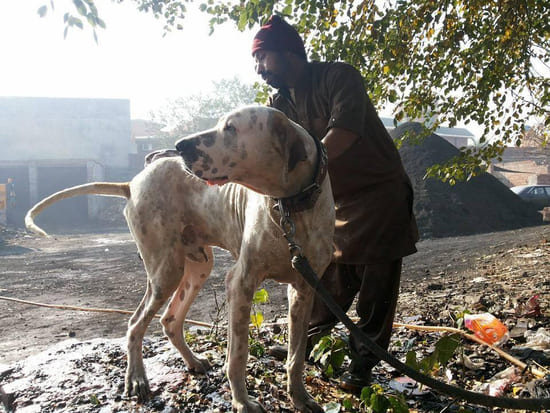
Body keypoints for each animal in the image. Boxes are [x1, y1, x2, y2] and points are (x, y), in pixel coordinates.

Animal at [25, 106, 334, 412]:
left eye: (231, 128)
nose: (180, 145)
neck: (292, 208)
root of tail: (132, 182)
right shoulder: (240, 283)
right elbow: (238, 355)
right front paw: (242, 401)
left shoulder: (304, 291)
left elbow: (296, 356)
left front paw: (300, 397)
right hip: (166, 272)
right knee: (135, 324)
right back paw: (136, 378)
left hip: (197, 268)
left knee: (170, 320)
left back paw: (192, 361)